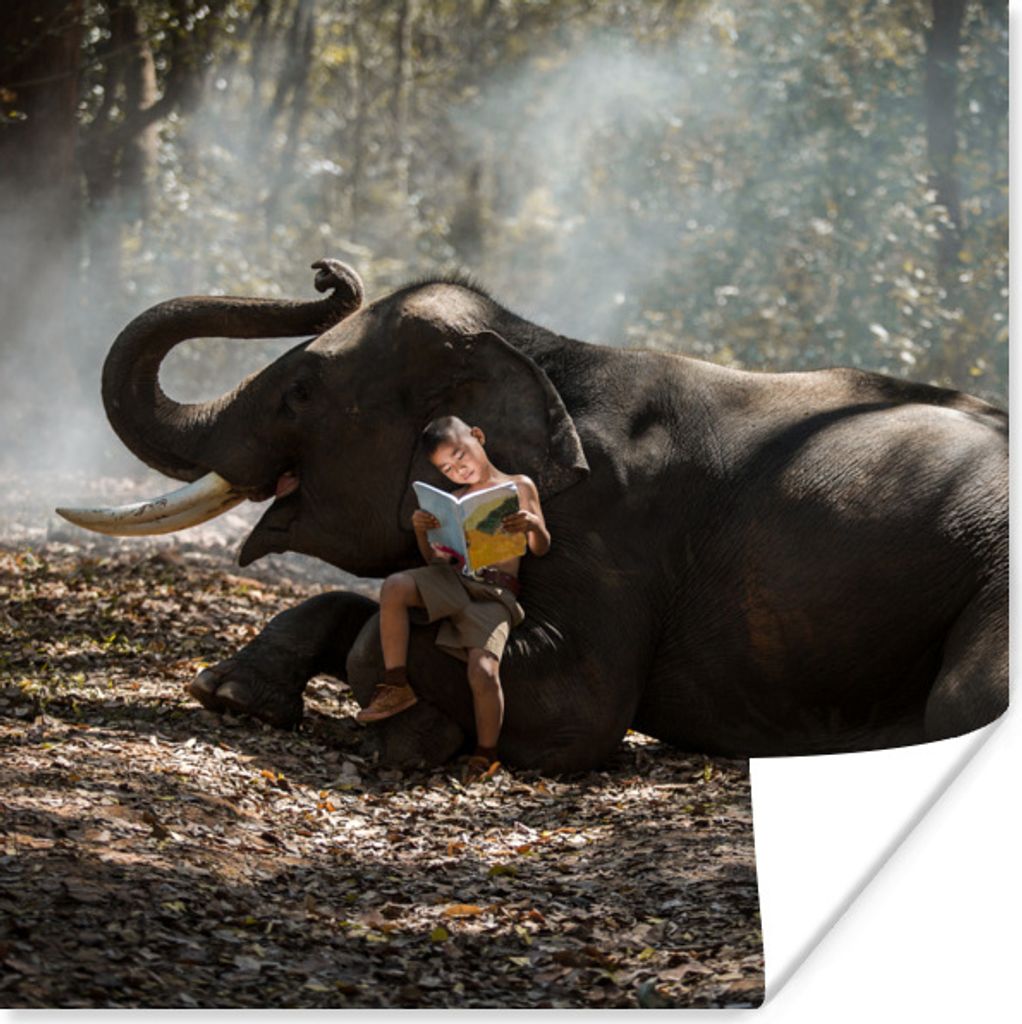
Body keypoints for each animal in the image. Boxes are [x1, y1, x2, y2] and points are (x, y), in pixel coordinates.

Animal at [59, 258, 1008, 773]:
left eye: (299, 390)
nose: (328, 275)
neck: (541, 350)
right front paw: (231, 697)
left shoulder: (608, 524)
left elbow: (576, 709)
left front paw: (408, 739)